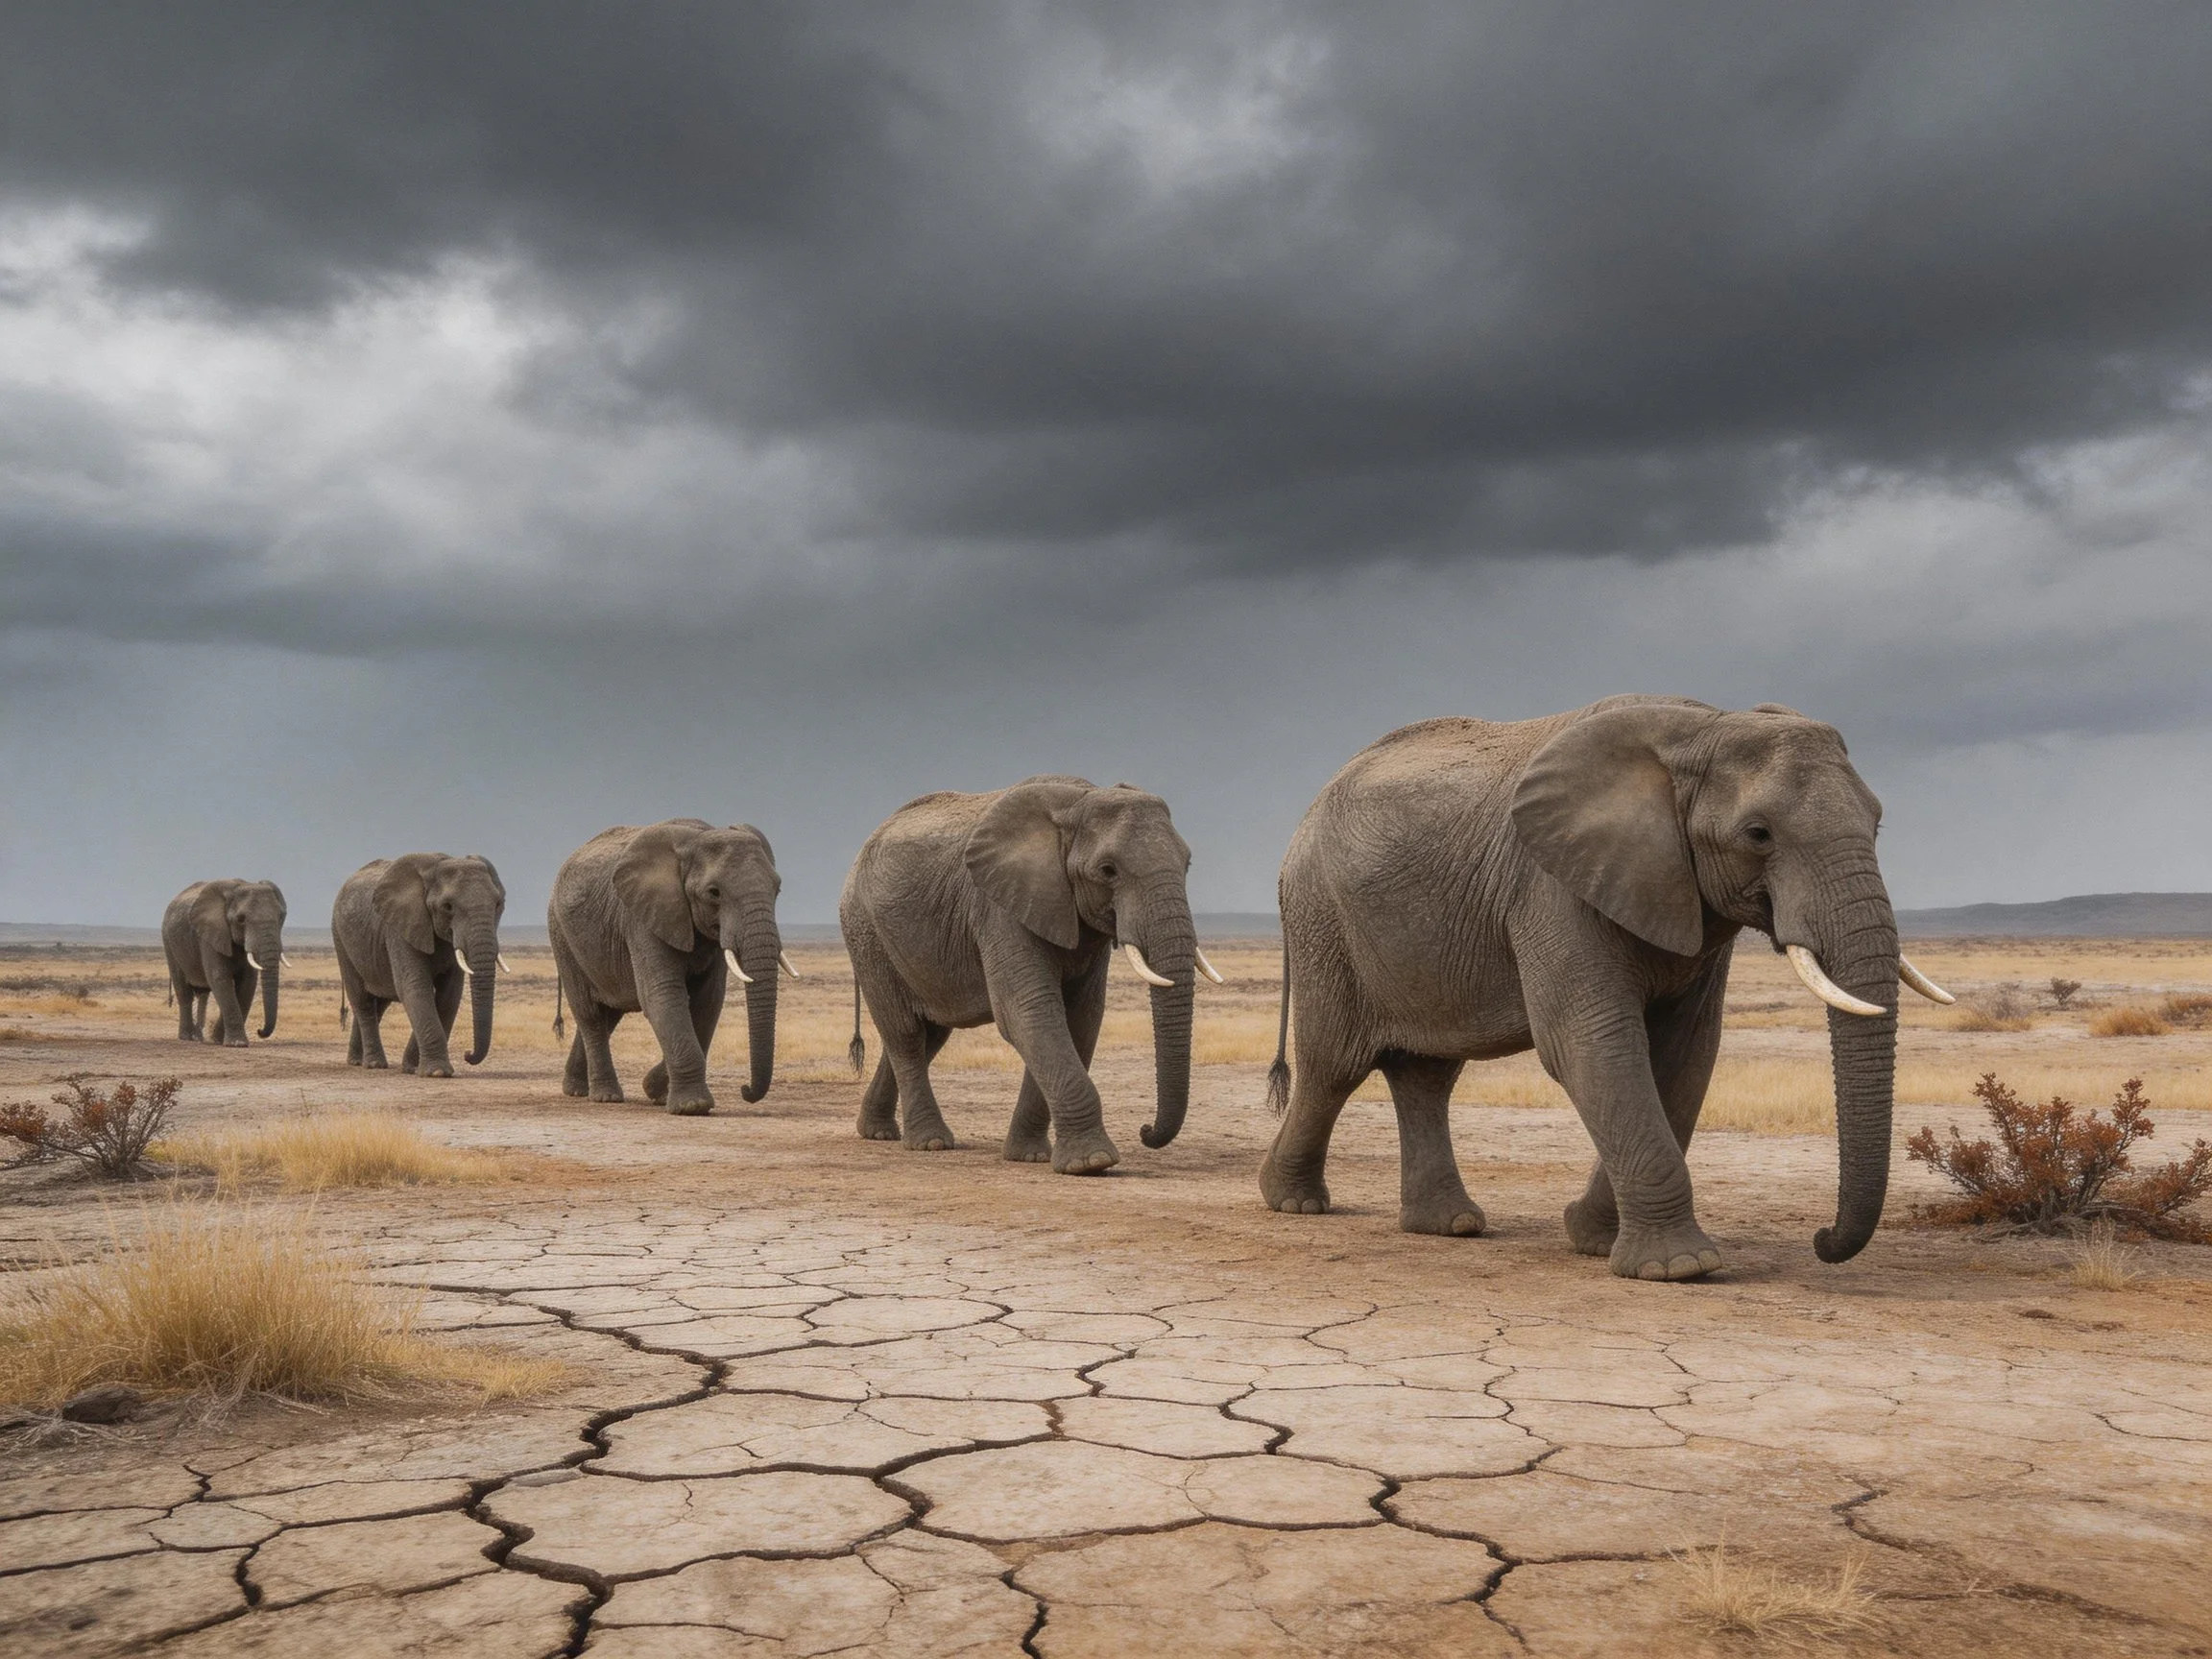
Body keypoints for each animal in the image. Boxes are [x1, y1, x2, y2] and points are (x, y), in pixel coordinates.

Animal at [161, 879, 289, 1045]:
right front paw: (236, 1044)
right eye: (241, 919)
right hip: (169, 943)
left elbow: (247, 983)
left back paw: (199, 1037)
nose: (259, 1031)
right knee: (183, 990)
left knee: (203, 995)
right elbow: (220, 978)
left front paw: (218, 1039)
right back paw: (187, 1037)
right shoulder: (209, 934)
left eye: (281, 917)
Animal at [331, 853, 507, 1077]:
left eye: (498, 904)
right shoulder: (399, 928)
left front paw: (412, 1067)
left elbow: (448, 996)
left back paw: (356, 1061)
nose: (467, 1054)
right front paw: (437, 1073)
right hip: (340, 938)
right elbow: (415, 986)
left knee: (379, 1003)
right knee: (362, 1000)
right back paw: (373, 1064)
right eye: (447, 906)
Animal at [547, 820, 792, 1115]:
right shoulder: (642, 918)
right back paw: (605, 1096)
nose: (745, 1090)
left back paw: (576, 1089)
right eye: (714, 893)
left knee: (609, 1016)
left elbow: (707, 1002)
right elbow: (663, 994)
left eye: (777, 889)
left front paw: (656, 1091)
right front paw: (691, 1106)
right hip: (561, 936)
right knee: (590, 1014)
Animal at [840, 776, 1224, 1175]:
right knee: (906, 1034)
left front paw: (1031, 1156)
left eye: (1187, 864)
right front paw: (1091, 1163)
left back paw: (878, 1132)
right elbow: (1029, 1013)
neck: (1078, 801)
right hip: (865, 932)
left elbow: (1080, 1020)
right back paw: (930, 1143)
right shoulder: (999, 909)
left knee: (930, 1035)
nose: (1145, 1129)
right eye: (1108, 870)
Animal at [1258, 696, 1954, 1281]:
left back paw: (1448, 1225)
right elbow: (1590, 1044)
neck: (1702, 729)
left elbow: (1682, 1054)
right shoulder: (1551, 887)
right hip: (1323, 919)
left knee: (1427, 1074)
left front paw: (1593, 1239)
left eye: (1878, 824)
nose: (1820, 1239)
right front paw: (1680, 1269)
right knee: (1333, 1066)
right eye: (1758, 834)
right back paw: (1293, 1202)